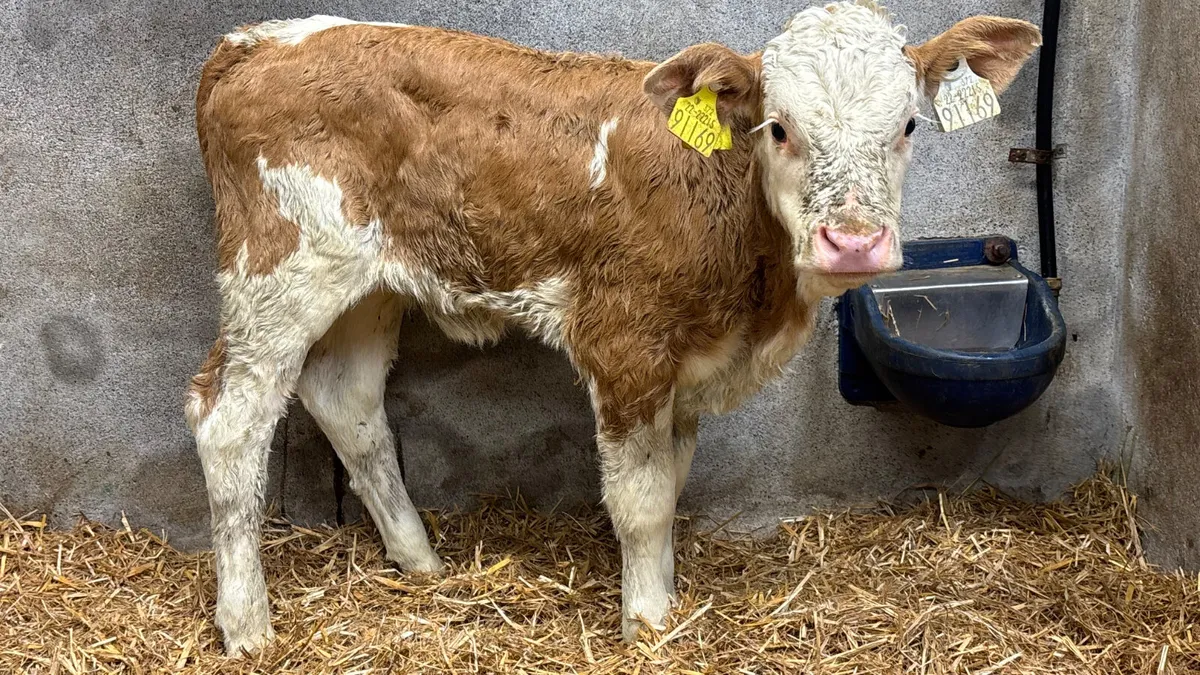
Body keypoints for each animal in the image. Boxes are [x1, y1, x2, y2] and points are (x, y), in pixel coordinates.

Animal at [185, 1, 1040, 654]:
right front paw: (649, 624)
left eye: (909, 126)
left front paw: (662, 593)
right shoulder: (624, 342)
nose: (853, 241)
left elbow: (672, 479)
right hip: (278, 274)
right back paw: (248, 626)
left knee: (348, 403)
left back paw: (421, 561)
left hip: (366, 285)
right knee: (229, 425)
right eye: (778, 127)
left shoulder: (690, 367)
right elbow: (641, 499)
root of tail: (257, 40)